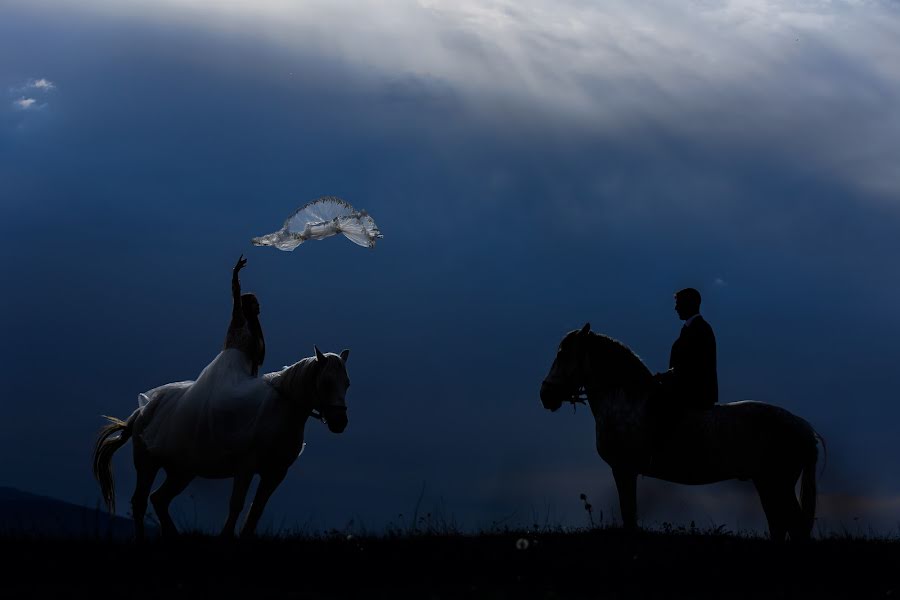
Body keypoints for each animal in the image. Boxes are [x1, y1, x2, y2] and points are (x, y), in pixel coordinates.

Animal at [92, 346, 352, 540]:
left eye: (347, 383)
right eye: (326, 383)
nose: (340, 422)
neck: (280, 411)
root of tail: (142, 412)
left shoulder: (275, 473)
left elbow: (257, 509)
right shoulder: (246, 467)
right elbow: (237, 504)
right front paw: (226, 538)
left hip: (182, 472)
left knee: (159, 499)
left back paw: (174, 537)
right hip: (148, 465)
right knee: (140, 502)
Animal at [536, 326, 828, 540]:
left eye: (563, 353)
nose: (545, 395)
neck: (625, 401)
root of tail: (802, 425)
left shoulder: (624, 469)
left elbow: (629, 514)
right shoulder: (624, 470)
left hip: (778, 482)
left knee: (795, 527)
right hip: (767, 482)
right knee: (781, 526)